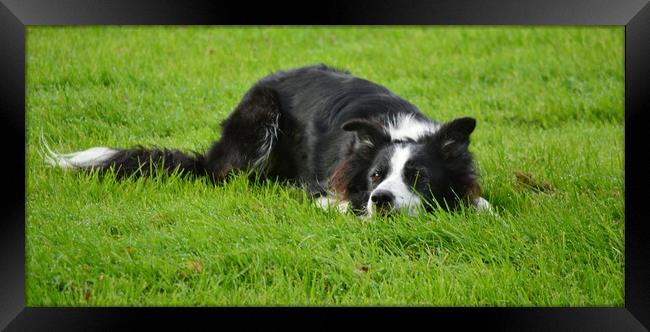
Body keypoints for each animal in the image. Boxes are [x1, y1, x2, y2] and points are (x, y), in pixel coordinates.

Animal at [44, 63, 492, 217]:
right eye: (375, 176)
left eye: (419, 177)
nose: (380, 200)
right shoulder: (329, 185)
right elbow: (339, 203)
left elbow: (481, 204)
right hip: (260, 117)